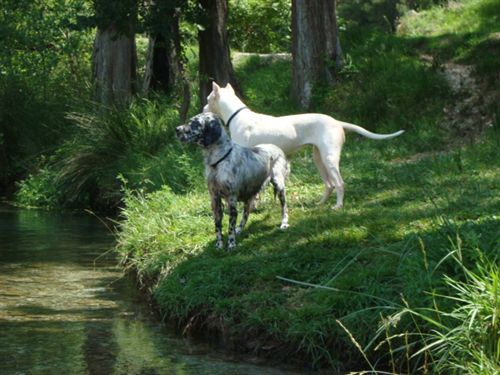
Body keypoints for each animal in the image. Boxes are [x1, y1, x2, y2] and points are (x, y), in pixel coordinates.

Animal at [177, 113, 290, 251]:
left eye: (195, 123)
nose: (177, 129)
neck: (217, 163)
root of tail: (277, 148)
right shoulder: (215, 199)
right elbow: (218, 227)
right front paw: (219, 245)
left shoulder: (231, 199)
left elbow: (230, 227)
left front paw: (231, 244)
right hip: (249, 196)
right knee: (246, 214)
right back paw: (240, 229)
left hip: (278, 184)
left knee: (284, 207)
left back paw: (284, 223)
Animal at [205, 82, 404, 210]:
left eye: (207, 99)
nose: (203, 109)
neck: (237, 116)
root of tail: (336, 121)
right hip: (319, 159)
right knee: (329, 184)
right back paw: (320, 204)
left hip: (329, 159)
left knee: (339, 183)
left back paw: (338, 206)